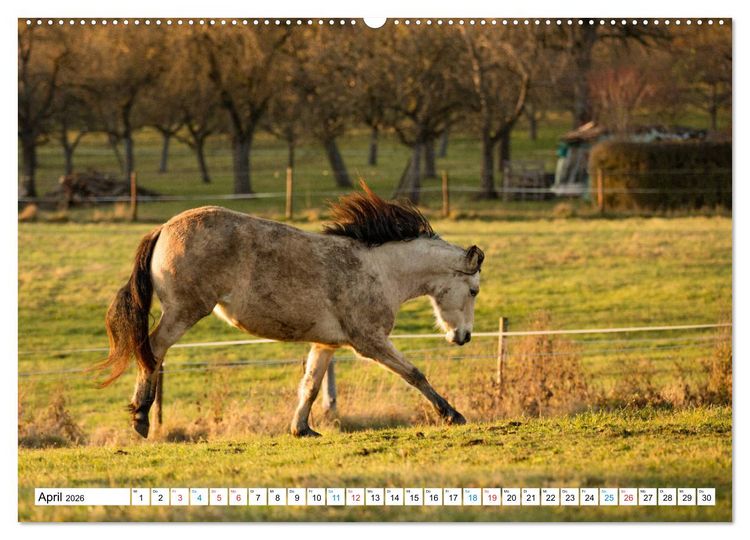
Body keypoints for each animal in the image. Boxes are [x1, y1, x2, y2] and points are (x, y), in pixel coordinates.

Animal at [96, 182, 484, 438]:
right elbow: (415, 374)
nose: (463, 337)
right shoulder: (370, 341)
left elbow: (310, 385)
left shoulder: (327, 344)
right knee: (152, 350)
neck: (381, 270)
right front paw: (452, 414)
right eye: (474, 291)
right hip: (184, 311)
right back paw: (141, 418)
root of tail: (163, 228)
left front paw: (302, 429)